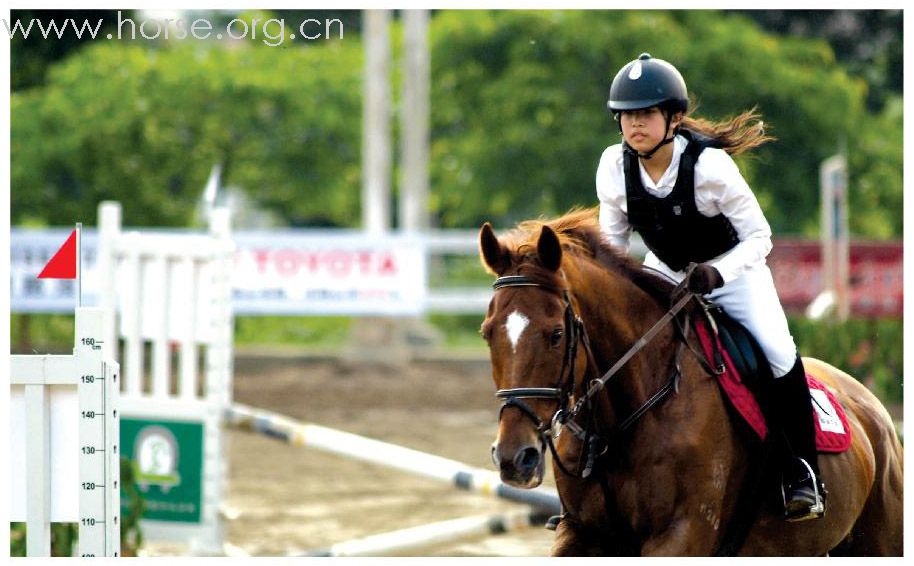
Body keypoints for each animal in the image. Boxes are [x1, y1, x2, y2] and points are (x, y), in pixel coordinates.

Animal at [474, 210, 900, 560]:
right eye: (487, 333)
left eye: (556, 334)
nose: (515, 458)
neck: (620, 420)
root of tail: (870, 406)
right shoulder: (580, 534)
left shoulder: (682, 535)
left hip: (878, 540)